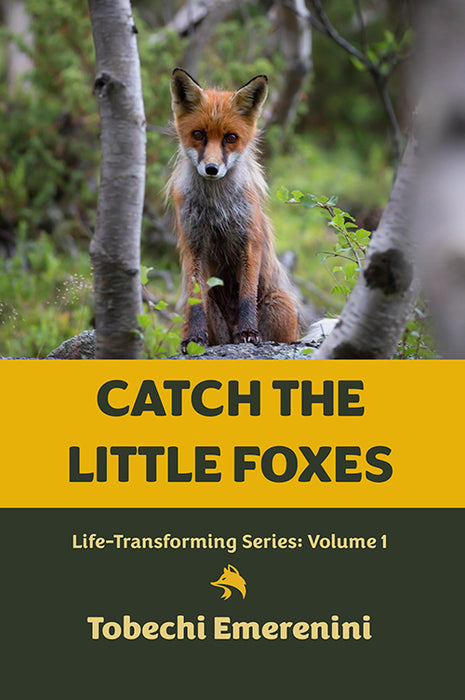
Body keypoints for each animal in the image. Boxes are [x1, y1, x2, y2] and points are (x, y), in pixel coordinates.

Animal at [167, 68, 301, 352]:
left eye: (230, 138)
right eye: (198, 134)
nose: (212, 169)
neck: (216, 206)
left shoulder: (249, 238)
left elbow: (247, 295)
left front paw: (248, 333)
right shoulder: (193, 242)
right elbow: (196, 300)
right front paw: (194, 339)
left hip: (279, 304)